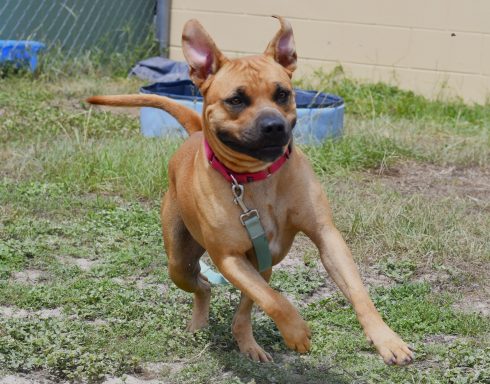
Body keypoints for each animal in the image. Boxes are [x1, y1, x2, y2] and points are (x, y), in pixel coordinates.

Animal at [88, 17, 414, 366]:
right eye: (236, 100)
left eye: (282, 94)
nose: (273, 126)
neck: (256, 178)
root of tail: (195, 133)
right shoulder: (229, 257)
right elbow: (275, 300)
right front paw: (297, 331)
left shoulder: (326, 236)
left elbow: (357, 291)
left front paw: (386, 339)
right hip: (180, 263)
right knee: (205, 285)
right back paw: (201, 323)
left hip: (261, 264)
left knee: (242, 307)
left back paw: (247, 343)